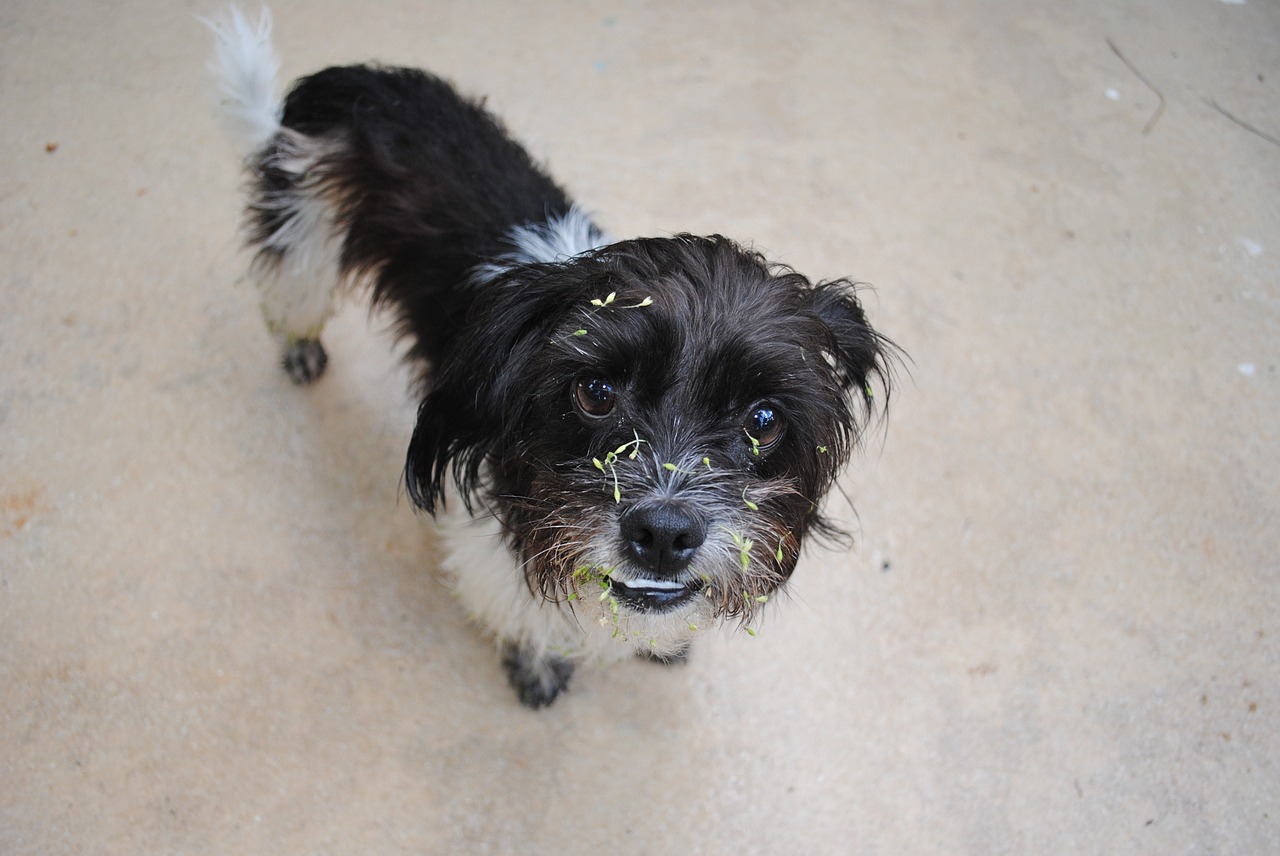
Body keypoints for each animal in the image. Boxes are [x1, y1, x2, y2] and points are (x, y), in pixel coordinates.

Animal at [204, 8, 896, 706]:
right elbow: (520, 606)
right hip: (306, 232)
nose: (664, 534)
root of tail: (347, 78)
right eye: (594, 393)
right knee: (287, 292)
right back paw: (299, 350)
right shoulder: (490, 532)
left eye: (763, 419)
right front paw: (536, 664)